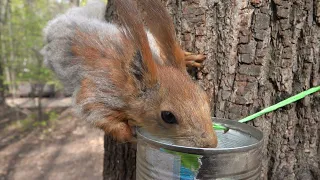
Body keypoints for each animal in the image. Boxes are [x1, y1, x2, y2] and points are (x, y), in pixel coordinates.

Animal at [41, 0, 219, 148]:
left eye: (205, 97)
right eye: (168, 116)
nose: (210, 143)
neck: (130, 78)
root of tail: (55, 25)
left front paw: (186, 56)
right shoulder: (99, 90)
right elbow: (96, 113)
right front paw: (128, 134)